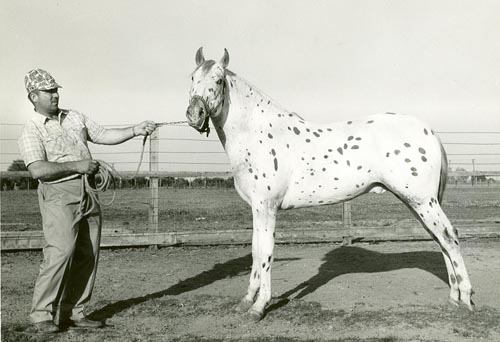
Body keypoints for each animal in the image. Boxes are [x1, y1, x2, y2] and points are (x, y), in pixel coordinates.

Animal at [186, 47, 474, 320]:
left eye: (219, 80)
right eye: (192, 78)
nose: (194, 113)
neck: (259, 134)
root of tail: (430, 132)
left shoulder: (267, 207)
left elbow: (266, 252)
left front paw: (259, 307)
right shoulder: (257, 208)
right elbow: (256, 252)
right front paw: (246, 300)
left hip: (423, 202)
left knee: (449, 238)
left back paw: (466, 299)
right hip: (419, 203)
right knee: (440, 240)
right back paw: (454, 298)